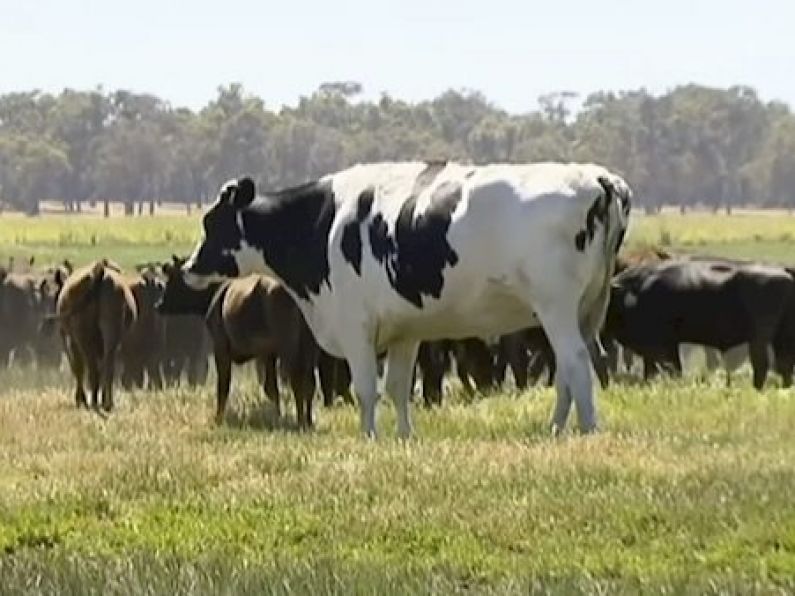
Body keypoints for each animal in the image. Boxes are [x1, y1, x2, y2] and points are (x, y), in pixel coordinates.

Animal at [50, 258, 137, 412]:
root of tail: (99, 272)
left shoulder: (70, 340)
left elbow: (77, 367)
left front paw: (80, 399)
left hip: (83, 337)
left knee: (90, 367)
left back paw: (93, 402)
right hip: (111, 332)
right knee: (107, 365)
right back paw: (107, 403)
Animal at [182, 162, 636, 438]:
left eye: (211, 222)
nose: (188, 267)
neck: (324, 224)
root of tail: (598, 178)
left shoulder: (355, 326)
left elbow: (367, 389)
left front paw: (368, 439)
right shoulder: (405, 331)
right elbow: (399, 387)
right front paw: (403, 437)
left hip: (556, 307)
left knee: (576, 364)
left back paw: (587, 431)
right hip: (580, 311)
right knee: (570, 369)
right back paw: (557, 429)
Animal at [604, 258, 795, 388]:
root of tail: (783, 270)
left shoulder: (661, 347)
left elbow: (672, 369)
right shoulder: (659, 349)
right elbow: (652, 371)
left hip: (760, 338)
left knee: (762, 364)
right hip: (782, 337)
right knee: (785, 364)